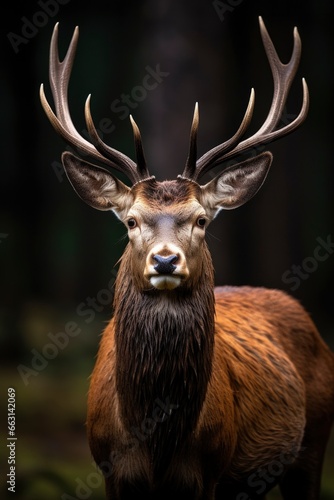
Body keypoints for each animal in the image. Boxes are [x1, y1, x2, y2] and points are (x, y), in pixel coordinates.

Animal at [41, 16, 334, 500]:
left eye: (200, 219)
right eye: (131, 221)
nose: (164, 261)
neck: (158, 443)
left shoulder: (210, 471)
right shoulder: (109, 469)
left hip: (313, 444)